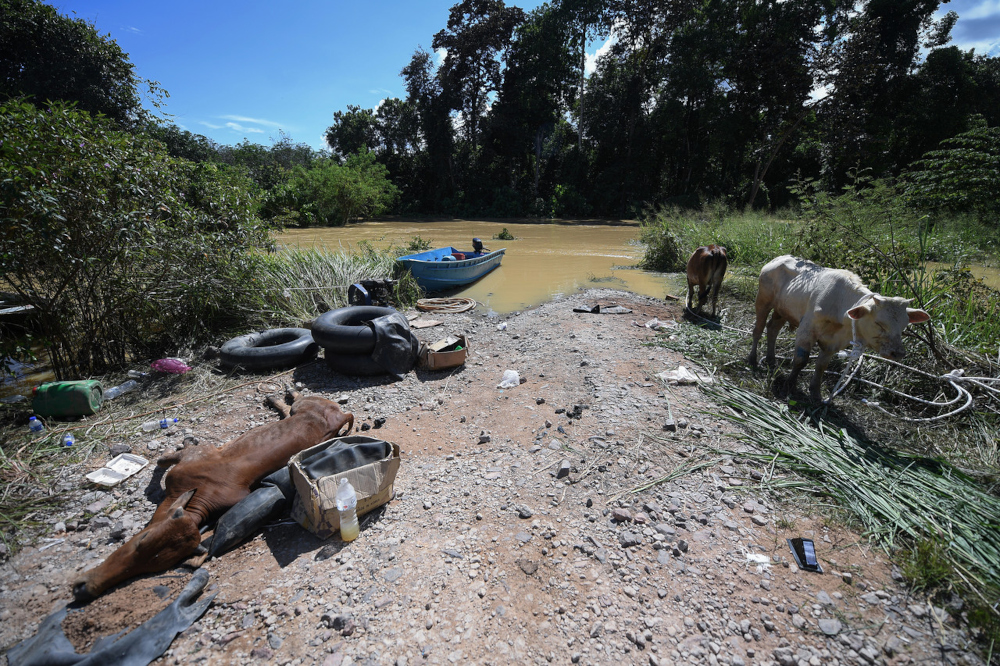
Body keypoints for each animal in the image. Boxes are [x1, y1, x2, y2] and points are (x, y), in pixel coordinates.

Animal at [71, 392, 353, 602]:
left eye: (144, 541)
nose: (84, 588)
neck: (201, 493)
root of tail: (341, 414)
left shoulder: (191, 458)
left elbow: (164, 458)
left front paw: (182, 440)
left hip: (305, 405)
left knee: (294, 401)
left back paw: (276, 395)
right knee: (288, 410)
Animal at [748, 255, 930, 403]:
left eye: (904, 325)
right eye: (879, 323)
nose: (898, 353)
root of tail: (778, 258)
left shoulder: (834, 343)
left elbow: (821, 366)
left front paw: (815, 393)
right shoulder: (807, 329)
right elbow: (801, 359)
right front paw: (789, 384)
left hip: (782, 310)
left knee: (772, 329)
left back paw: (771, 359)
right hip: (762, 301)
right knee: (758, 329)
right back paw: (753, 359)